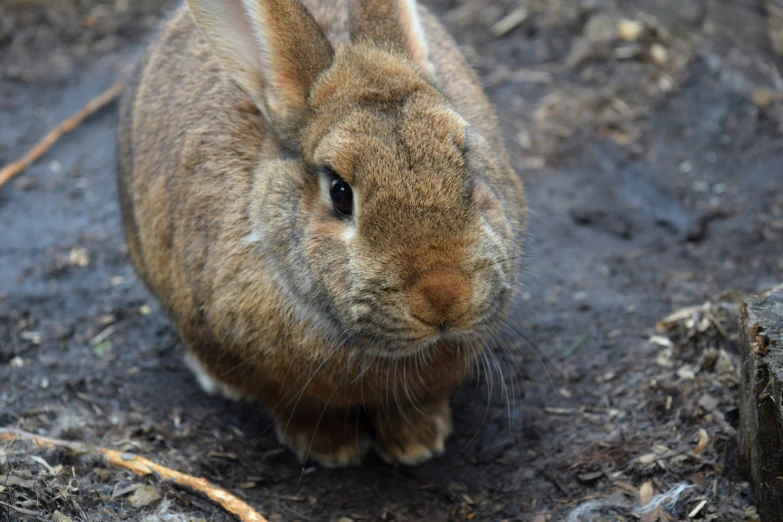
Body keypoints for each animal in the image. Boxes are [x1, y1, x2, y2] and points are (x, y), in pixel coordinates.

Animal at [116, 0, 528, 466]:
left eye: (466, 159)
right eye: (340, 193)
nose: (444, 298)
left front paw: (419, 443)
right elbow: (303, 409)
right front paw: (330, 450)